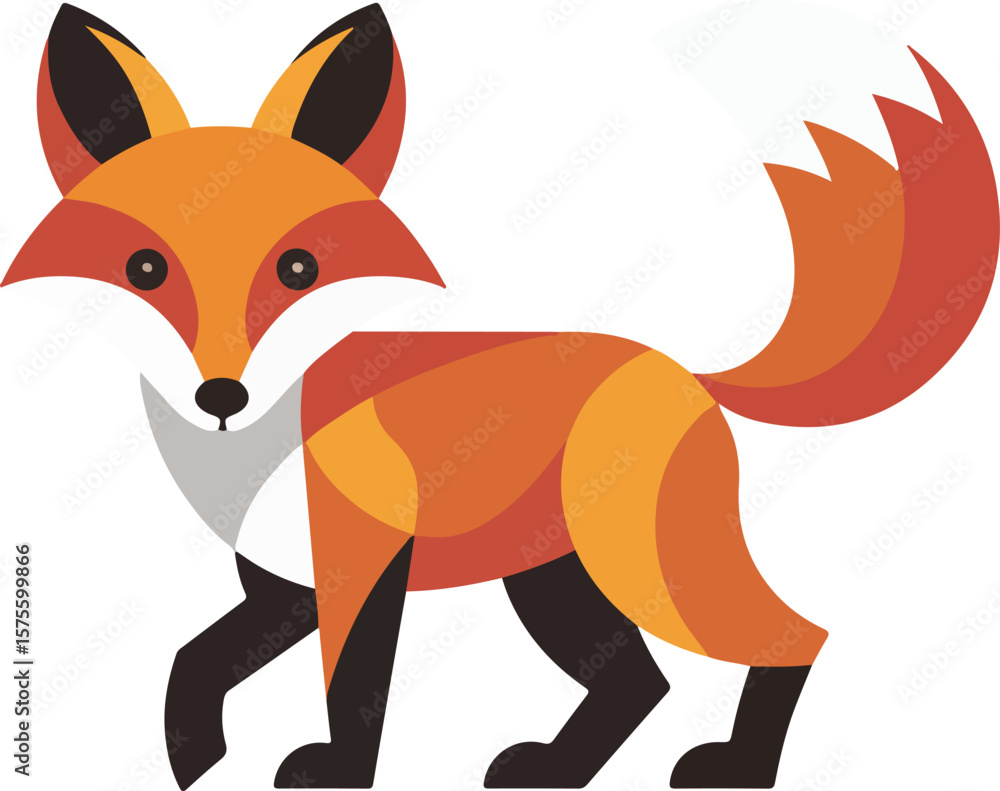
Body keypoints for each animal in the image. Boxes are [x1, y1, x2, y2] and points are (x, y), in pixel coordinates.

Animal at [3, 3, 998, 789]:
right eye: (145, 269)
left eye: (298, 269)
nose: (222, 393)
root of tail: (684, 368)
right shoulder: (286, 583)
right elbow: (194, 658)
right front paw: (191, 754)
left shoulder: (367, 562)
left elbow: (352, 689)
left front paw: (333, 772)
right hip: (553, 580)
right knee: (642, 680)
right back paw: (556, 768)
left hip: (644, 566)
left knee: (793, 636)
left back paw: (739, 769)